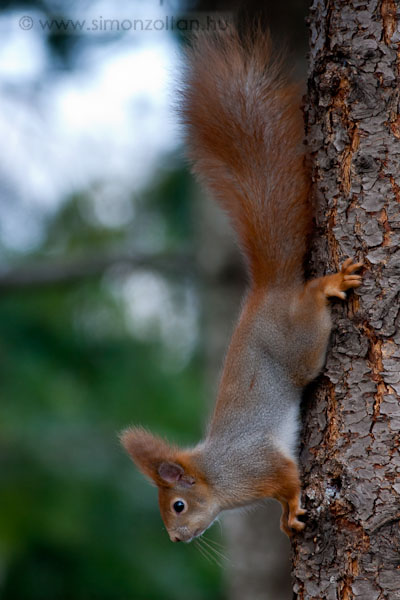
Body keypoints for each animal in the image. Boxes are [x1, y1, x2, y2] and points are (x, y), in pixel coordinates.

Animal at [119, 24, 362, 540]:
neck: (218, 477)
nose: (176, 539)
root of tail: (269, 290)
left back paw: (326, 285)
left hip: (300, 345)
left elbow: (288, 479)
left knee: (311, 312)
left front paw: (290, 509)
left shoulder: (258, 463)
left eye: (177, 506)